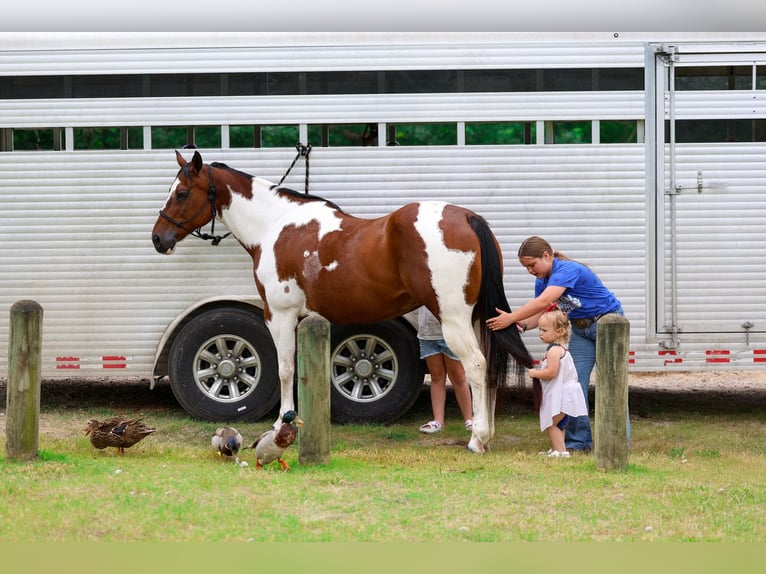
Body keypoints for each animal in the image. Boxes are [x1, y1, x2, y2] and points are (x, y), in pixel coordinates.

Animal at [151, 150, 532, 453]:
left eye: (182, 193)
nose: (158, 238)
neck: (276, 226)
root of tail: (467, 217)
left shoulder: (280, 314)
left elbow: (285, 368)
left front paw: (281, 422)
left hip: (453, 318)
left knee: (476, 367)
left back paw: (478, 439)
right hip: (477, 318)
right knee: (489, 369)